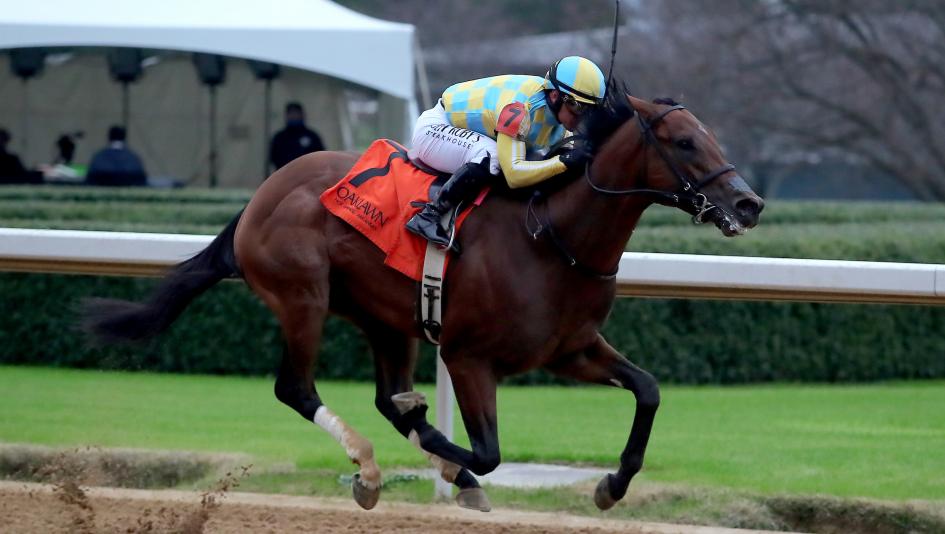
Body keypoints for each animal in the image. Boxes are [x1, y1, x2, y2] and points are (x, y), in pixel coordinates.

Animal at [83, 86, 764, 513]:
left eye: (709, 136)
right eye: (684, 142)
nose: (749, 203)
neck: (553, 237)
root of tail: (261, 196)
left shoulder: (570, 349)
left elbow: (648, 389)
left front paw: (611, 486)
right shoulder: (468, 356)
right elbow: (488, 453)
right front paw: (452, 466)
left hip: (386, 318)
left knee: (386, 396)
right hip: (303, 296)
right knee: (297, 388)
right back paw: (369, 468)